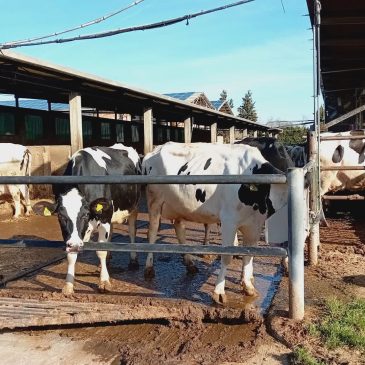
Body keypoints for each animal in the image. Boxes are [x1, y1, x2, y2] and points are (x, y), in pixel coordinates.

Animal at [52, 144, 141, 294]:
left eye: (85, 215)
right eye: (60, 216)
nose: (74, 244)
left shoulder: (104, 218)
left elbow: (101, 251)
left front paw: (104, 281)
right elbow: (71, 255)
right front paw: (68, 285)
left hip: (133, 207)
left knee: (132, 231)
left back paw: (133, 261)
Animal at [142, 141, 288, 302]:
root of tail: (156, 148)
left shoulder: (254, 225)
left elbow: (249, 255)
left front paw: (248, 287)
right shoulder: (229, 221)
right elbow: (227, 256)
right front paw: (219, 292)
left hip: (179, 204)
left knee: (179, 228)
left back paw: (190, 264)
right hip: (154, 202)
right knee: (152, 232)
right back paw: (149, 268)